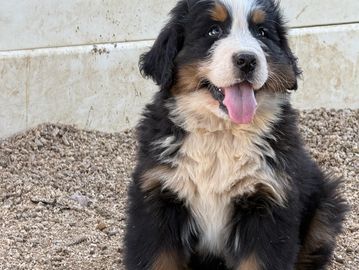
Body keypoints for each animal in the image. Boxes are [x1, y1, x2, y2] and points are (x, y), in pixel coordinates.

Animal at [125, 1, 348, 268]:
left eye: (261, 33)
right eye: (213, 31)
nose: (247, 60)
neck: (222, 134)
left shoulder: (268, 205)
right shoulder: (157, 198)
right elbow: (158, 258)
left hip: (325, 208)